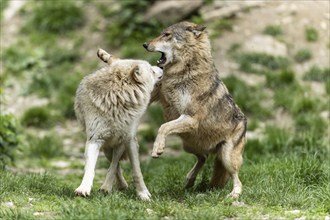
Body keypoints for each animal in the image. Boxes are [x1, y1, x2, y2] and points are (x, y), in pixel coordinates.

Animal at [74, 49, 163, 200]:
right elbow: (90, 168)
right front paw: (83, 188)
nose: (161, 67)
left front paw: (143, 193)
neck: (118, 101)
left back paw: (109, 186)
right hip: (107, 148)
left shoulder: (128, 140)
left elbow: (136, 170)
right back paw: (115, 186)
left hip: (119, 144)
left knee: (115, 164)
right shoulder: (94, 140)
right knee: (115, 165)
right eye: (151, 70)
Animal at [143, 21, 246, 198]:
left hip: (226, 157)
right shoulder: (156, 96)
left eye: (167, 35)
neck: (183, 72)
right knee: (203, 157)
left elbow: (163, 127)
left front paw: (157, 149)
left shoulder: (190, 118)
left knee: (237, 180)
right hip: (189, 145)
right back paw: (190, 180)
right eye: (161, 33)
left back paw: (233, 195)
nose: (145, 44)